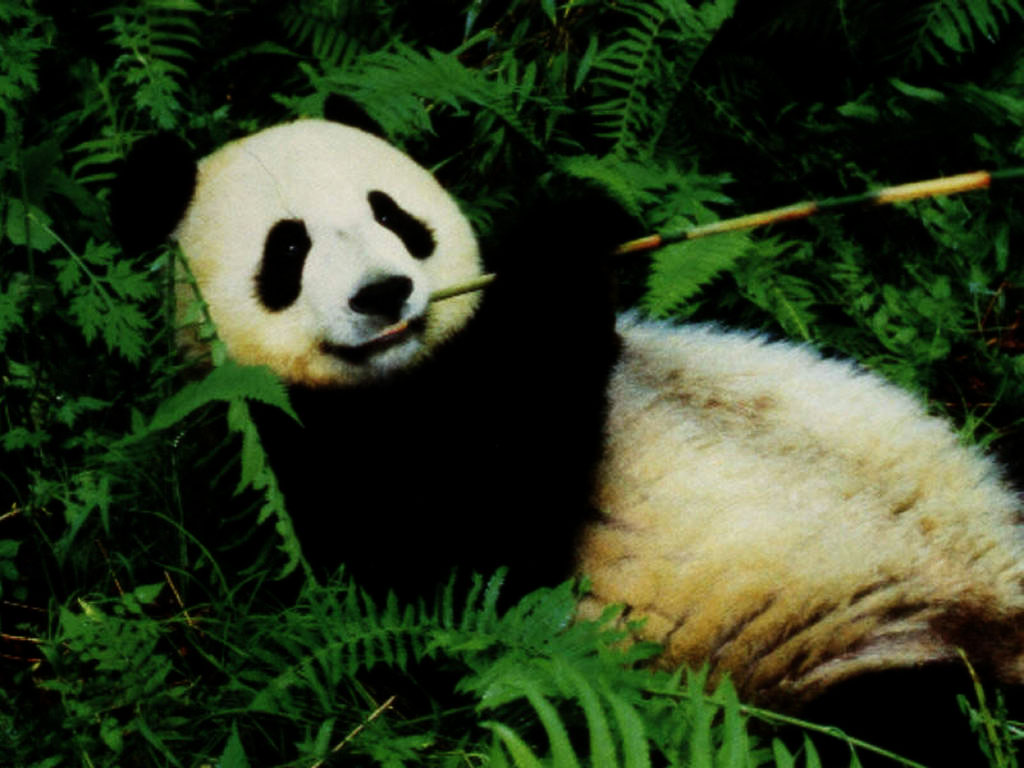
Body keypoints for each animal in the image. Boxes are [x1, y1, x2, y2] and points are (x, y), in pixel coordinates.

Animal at [114, 103, 1024, 764]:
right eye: (289, 247)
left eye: (394, 217)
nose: (383, 292)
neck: (415, 371)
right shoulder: (299, 476)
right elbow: (473, 542)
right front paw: (553, 247)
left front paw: (587, 217)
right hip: (845, 653)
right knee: (893, 732)